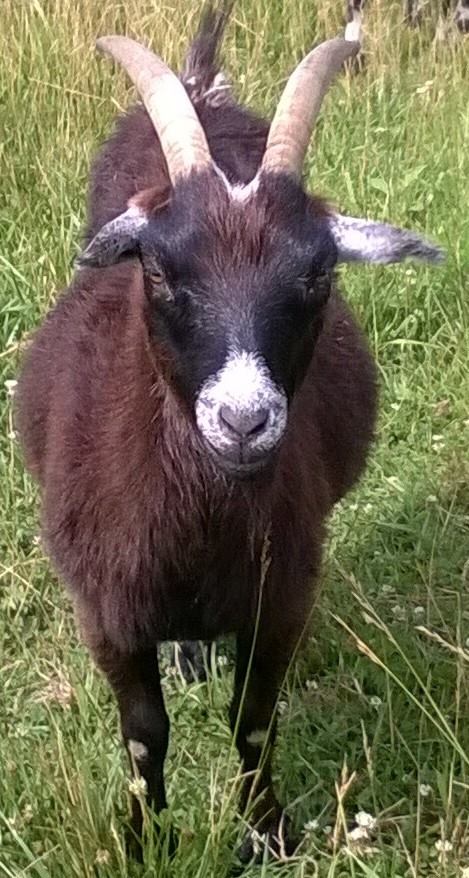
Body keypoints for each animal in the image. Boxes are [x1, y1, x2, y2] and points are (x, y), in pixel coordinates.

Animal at [15, 1, 442, 868]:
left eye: (317, 274)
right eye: (158, 272)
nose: (242, 421)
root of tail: (198, 87)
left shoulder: (280, 594)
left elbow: (251, 720)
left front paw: (265, 833)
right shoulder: (103, 607)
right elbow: (143, 734)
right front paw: (144, 839)